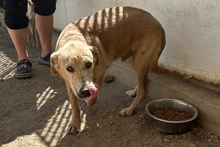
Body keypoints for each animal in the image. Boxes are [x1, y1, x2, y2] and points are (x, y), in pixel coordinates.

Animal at [51, 6, 168, 134]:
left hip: (139, 60)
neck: (73, 36)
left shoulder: (100, 75)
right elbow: (74, 104)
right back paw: (134, 92)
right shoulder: (69, 82)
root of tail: (158, 24)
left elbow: (92, 100)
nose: (85, 91)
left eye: (89, 64)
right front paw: (75, 123)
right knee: (144, 80)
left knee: (144, 90)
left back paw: (129, 110)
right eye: (69, 68)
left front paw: (90, 99)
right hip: (133, 58)